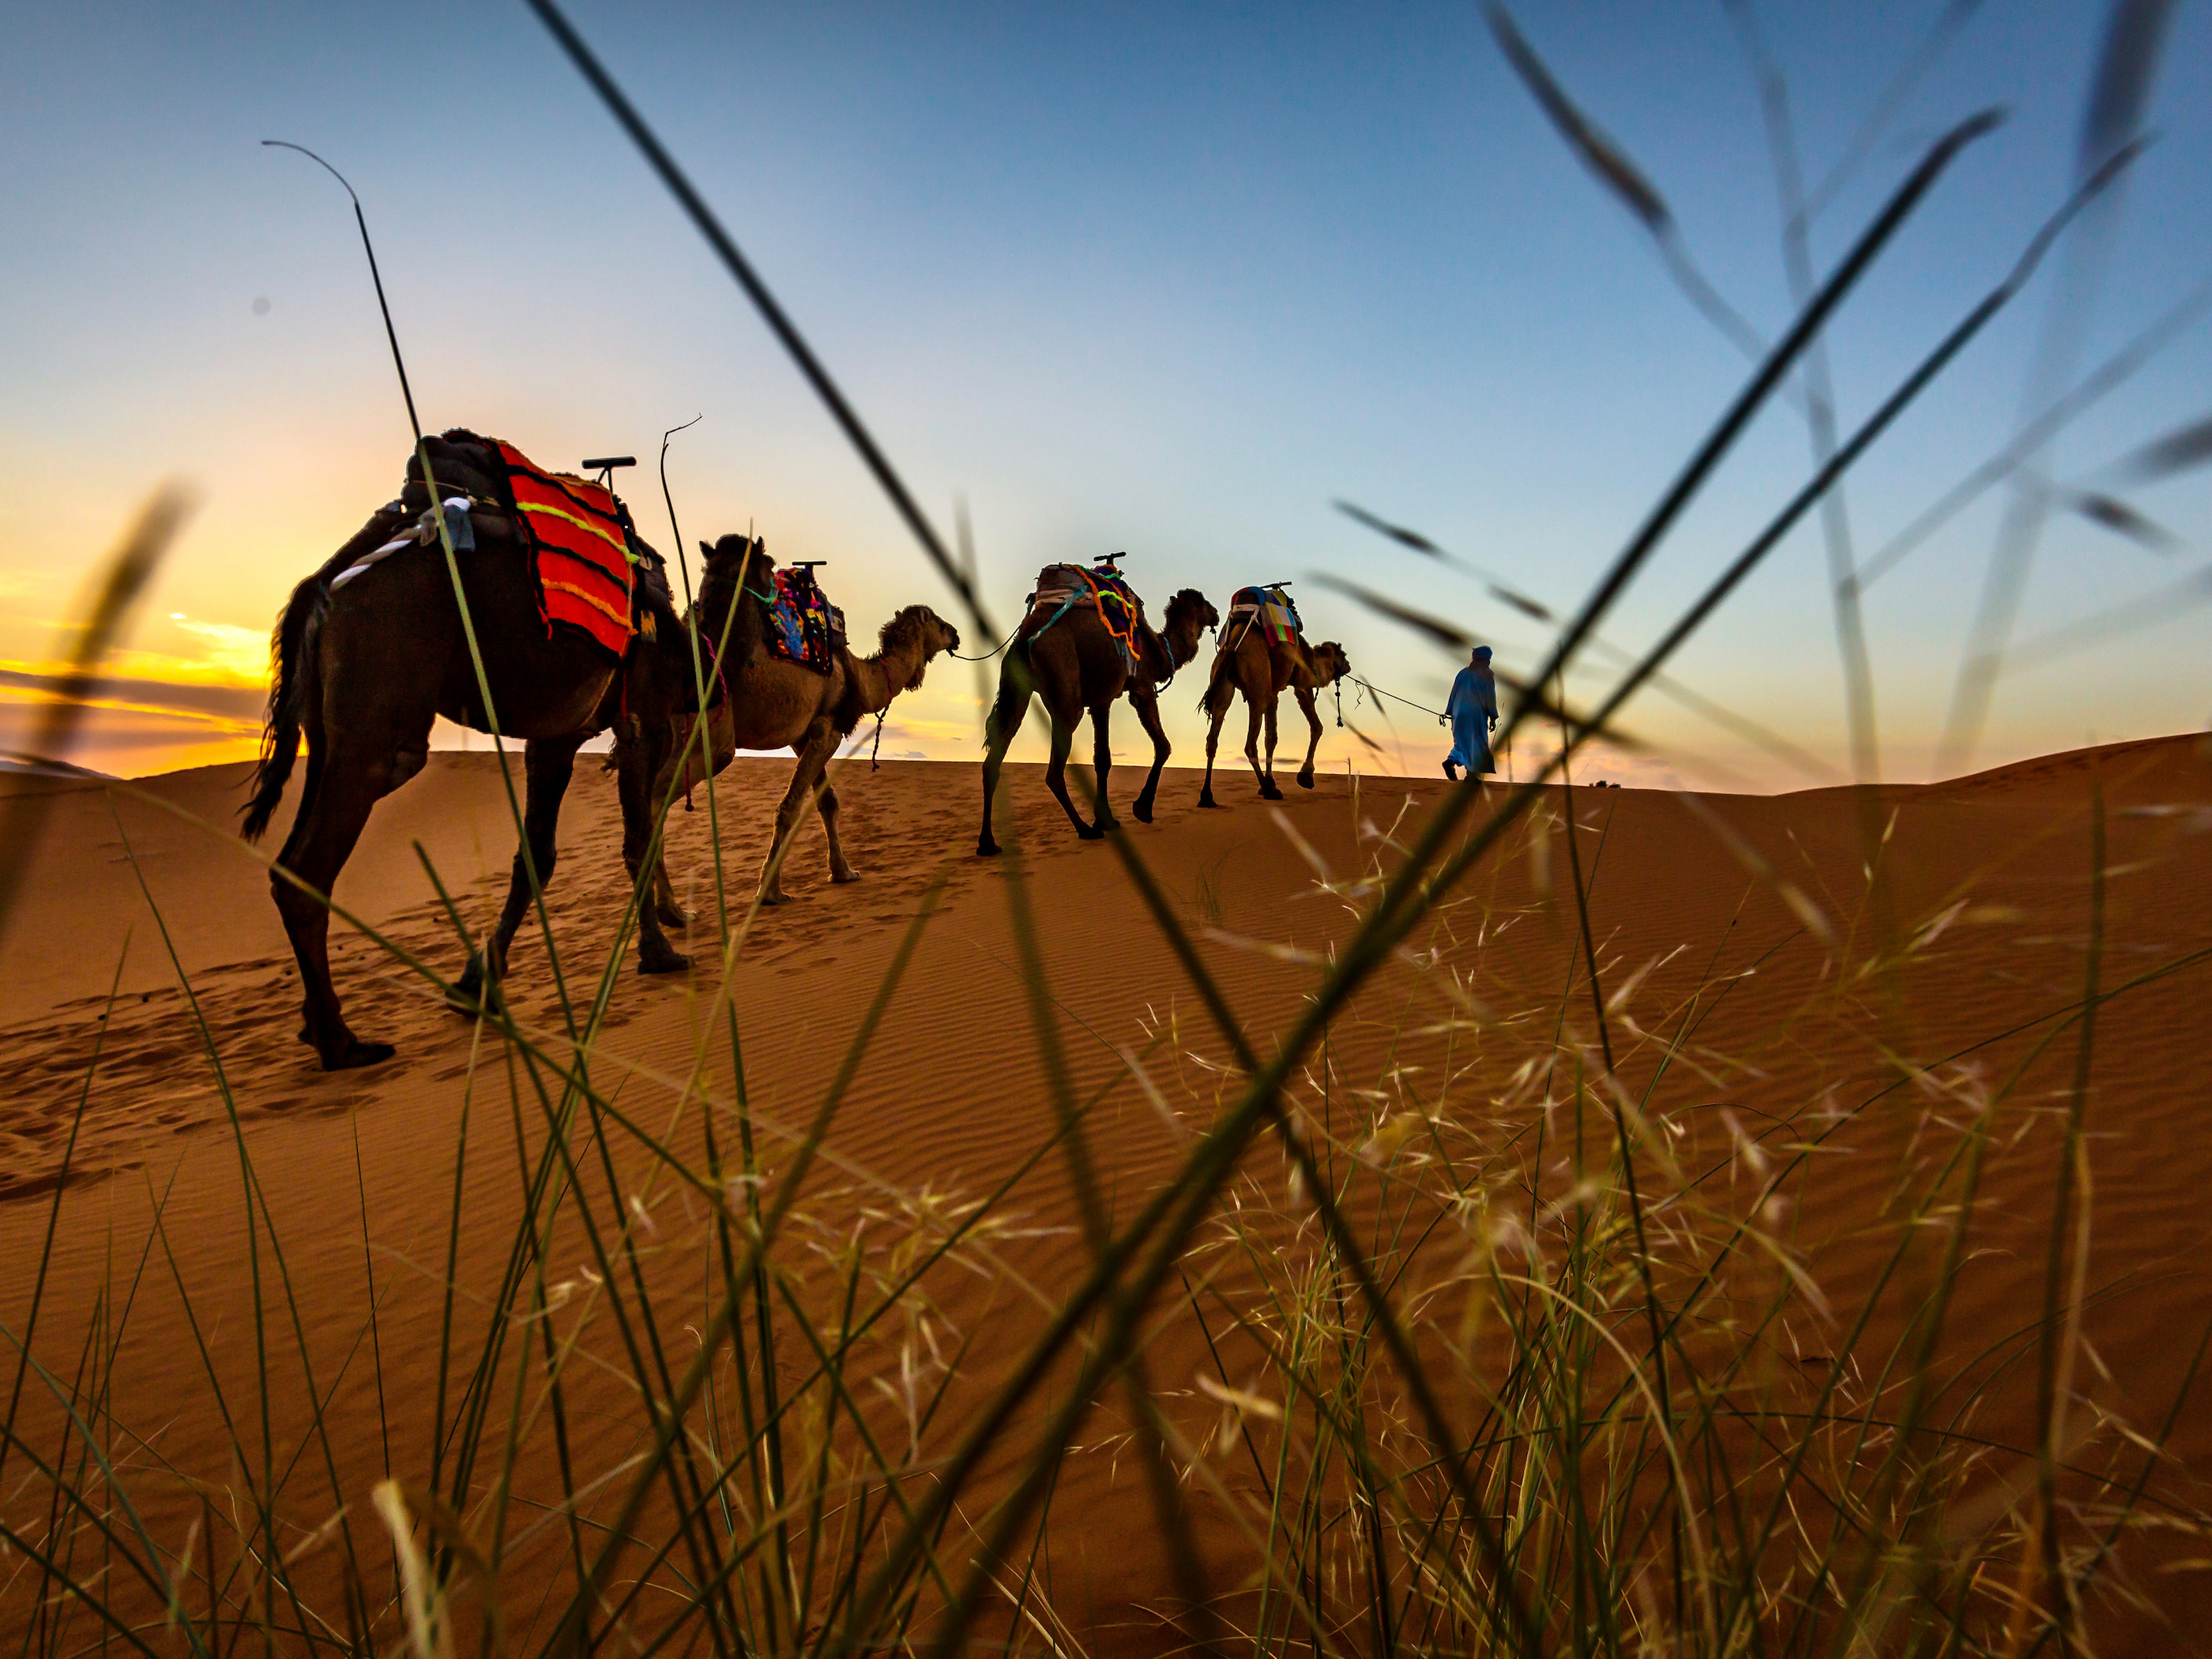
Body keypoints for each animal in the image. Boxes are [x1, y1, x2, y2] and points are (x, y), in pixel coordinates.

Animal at [242, 436, 770, 1070]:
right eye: (770, 571)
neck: (685, 649)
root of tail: (325, 581)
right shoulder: (640, 720)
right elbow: (636, 841)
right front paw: (661, 952)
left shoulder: (557, 737)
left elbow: (536, 857)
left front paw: (477, 984)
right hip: (378, 708)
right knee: (311, 865)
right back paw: (342, 1042)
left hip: (326, 729)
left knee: (288, 859)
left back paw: (315, 1027)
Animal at [630, 579, 962, 908]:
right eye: (937, 621)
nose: (956, 634)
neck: (860, 677)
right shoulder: (827, 731)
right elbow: (790, 807)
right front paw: (770, 891)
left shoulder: (804, 738)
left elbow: (828, 803)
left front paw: (843, 872)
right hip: (709, 722)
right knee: (664, 795)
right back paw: (671, 910)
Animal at [976, 580, 1218, 856]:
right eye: (1203, 603)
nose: (1216, 614)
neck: (1158, 650)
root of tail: (1025, 637)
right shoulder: (1141, 687)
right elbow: (1163, 746)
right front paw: (1142, 809)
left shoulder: (1102, 700)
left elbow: (1103, 758)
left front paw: (1106, 819)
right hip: (1064, 686)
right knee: (1054, 770)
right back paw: (1084, 829)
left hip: (1016, 688)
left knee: (995, 756)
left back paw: (987, 843)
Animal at [1197, 613, 1352, 806]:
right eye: (1343, 655)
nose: (1349, 665)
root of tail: (1232, 646)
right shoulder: (1298, 685)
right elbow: (1314, 727)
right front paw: (1305, 777)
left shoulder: (1273, 693)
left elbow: (1270, 738)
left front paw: (1272, 781)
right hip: (1258, 688)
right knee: (1250, 745)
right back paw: (1268, 790)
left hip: (1222, 685)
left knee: (1212, 739)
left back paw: (1207, 796)